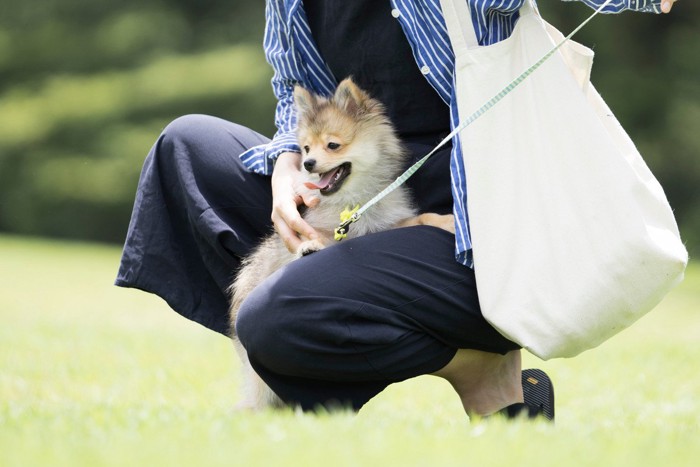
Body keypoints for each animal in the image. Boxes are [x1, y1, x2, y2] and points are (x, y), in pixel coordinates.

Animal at [228, 78, 454, 412]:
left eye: (332, 145)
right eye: (306, 148)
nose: (308, 163)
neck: (353, 201)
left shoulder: (385, 224)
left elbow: (420, 218)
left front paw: (447, 221)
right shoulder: (326, 229)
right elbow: (317, 236)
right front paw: (308, 246)